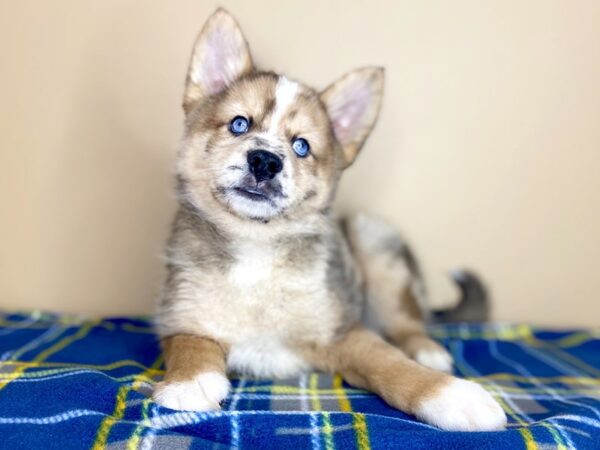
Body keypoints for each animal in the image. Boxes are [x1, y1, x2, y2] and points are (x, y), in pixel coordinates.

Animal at [151, 8, 506, 430]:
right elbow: (190, 344)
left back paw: (426, 349)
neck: (257, 249)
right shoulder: (180, 314)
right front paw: (188, 383)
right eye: (239, 124)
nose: (265, 162)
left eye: (302, 146)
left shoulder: (342, 331)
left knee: (408, 322)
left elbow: (390, 363)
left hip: (377, 243)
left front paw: (454, 396)